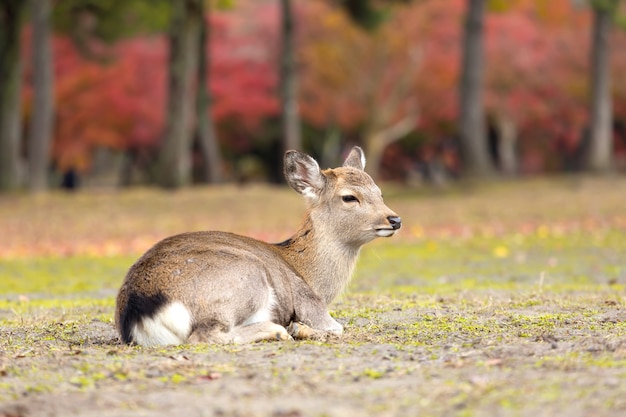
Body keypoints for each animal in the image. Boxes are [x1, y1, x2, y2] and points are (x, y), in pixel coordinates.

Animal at [114, 146, 400, 344]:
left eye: (380, 192)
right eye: (349, 197)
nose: (395, 219)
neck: (312, 280)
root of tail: (138, 310)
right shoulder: (311, 306)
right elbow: (337, 327)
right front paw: (301, 328)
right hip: (245, 279)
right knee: (206, 335)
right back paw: (279, 331)